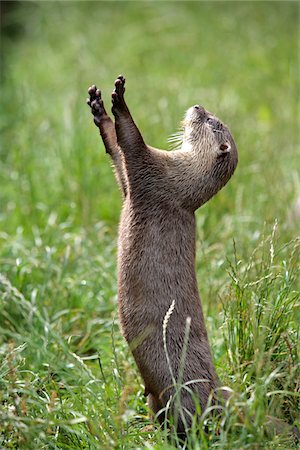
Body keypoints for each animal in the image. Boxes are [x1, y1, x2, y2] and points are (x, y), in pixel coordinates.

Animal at [87, 75, 239, 438]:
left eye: (212, 122)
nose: (198, 106)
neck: (183, 182)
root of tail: (217, 393)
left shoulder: (154, 172)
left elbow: (131, 142)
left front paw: (119, 100)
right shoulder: (136, 183)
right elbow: (117, 156)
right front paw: (99, 111)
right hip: (154, 398)